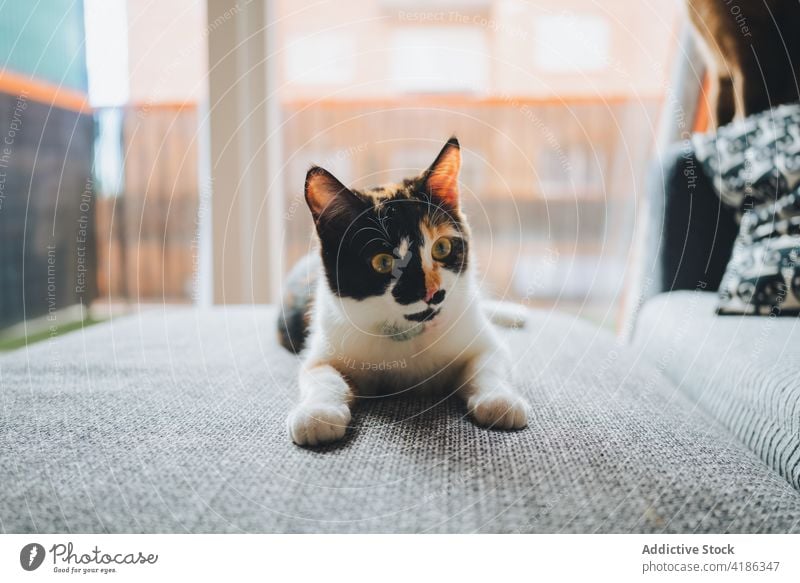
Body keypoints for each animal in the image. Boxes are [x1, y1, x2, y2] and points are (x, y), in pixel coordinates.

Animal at [278, 138, 528, 448]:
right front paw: (317, 414)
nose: (433, 293)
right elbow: (322, 375)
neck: (410, 333)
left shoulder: (479, 338)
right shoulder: (327, 340)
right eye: (383, 262)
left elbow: (489, 362)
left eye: (442, 247)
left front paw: (499, 400)